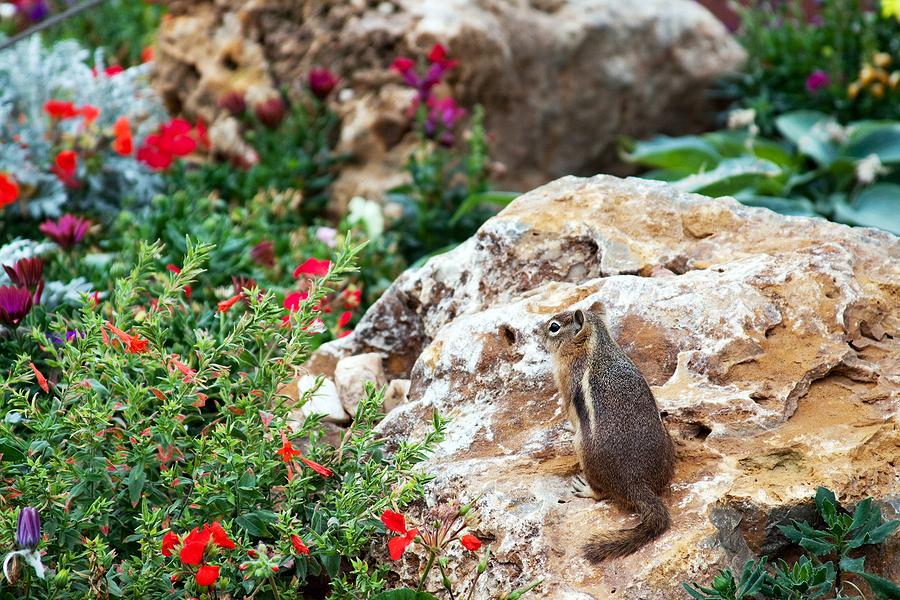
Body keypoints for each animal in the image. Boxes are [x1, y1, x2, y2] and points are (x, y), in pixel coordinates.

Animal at [539, 300, 675, 562]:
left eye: (554, 327)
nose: (537, 333)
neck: (597, 344)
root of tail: (636, 482)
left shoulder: (566, 385)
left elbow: (570, 415)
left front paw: (566, 425)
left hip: (583, 451)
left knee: (601, 493)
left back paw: (584, 488)